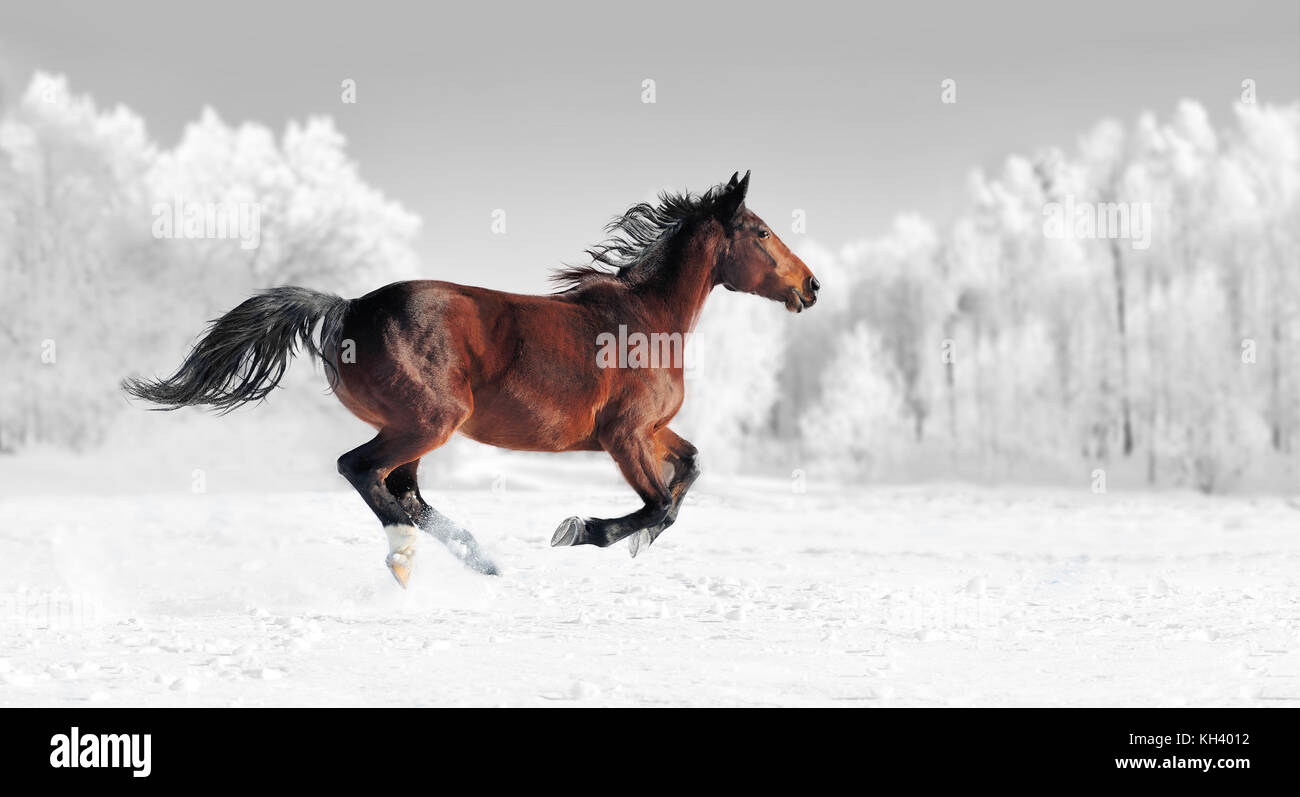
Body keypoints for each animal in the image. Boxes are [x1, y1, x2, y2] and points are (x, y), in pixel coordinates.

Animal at [122, 170, 819, 586]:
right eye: (761, 232)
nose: (811, 285)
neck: (646, 319)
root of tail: (349, 307)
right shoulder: (624, 435)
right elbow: (659, 505)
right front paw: (582, 532)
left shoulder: (651, 431)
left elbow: (689, 472)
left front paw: (629, 542)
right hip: (428, 422)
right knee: (363, 472)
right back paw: (414, 556)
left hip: (414, 428)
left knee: (402, 490)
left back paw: (476, 559)